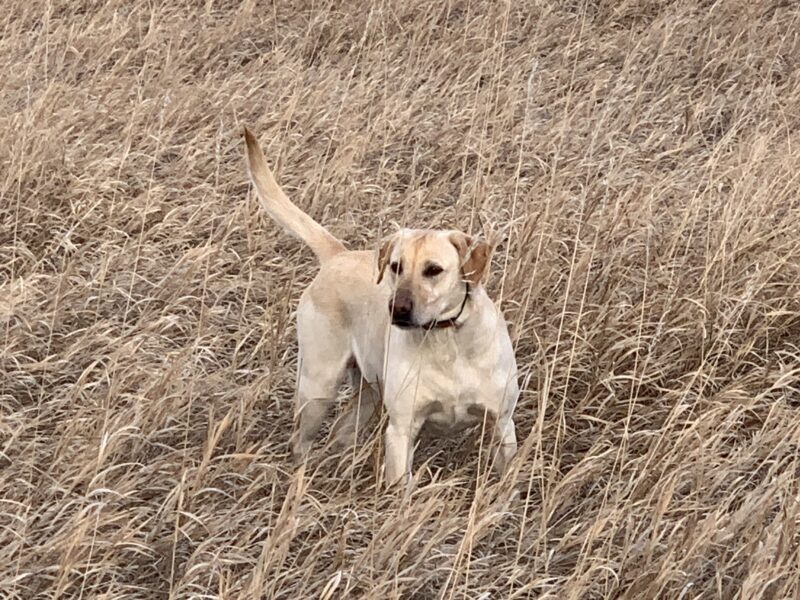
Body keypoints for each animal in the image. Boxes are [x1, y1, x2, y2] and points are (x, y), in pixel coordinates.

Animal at [244, 126, 520, 488]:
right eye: (395, 266)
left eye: (433, 270)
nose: (397, 309)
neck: (447, 342)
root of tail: (337, 255)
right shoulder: (401, 431)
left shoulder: (503, 425)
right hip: (318, 387)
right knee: (301, 441)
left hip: (367, 394)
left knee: (340, 432)